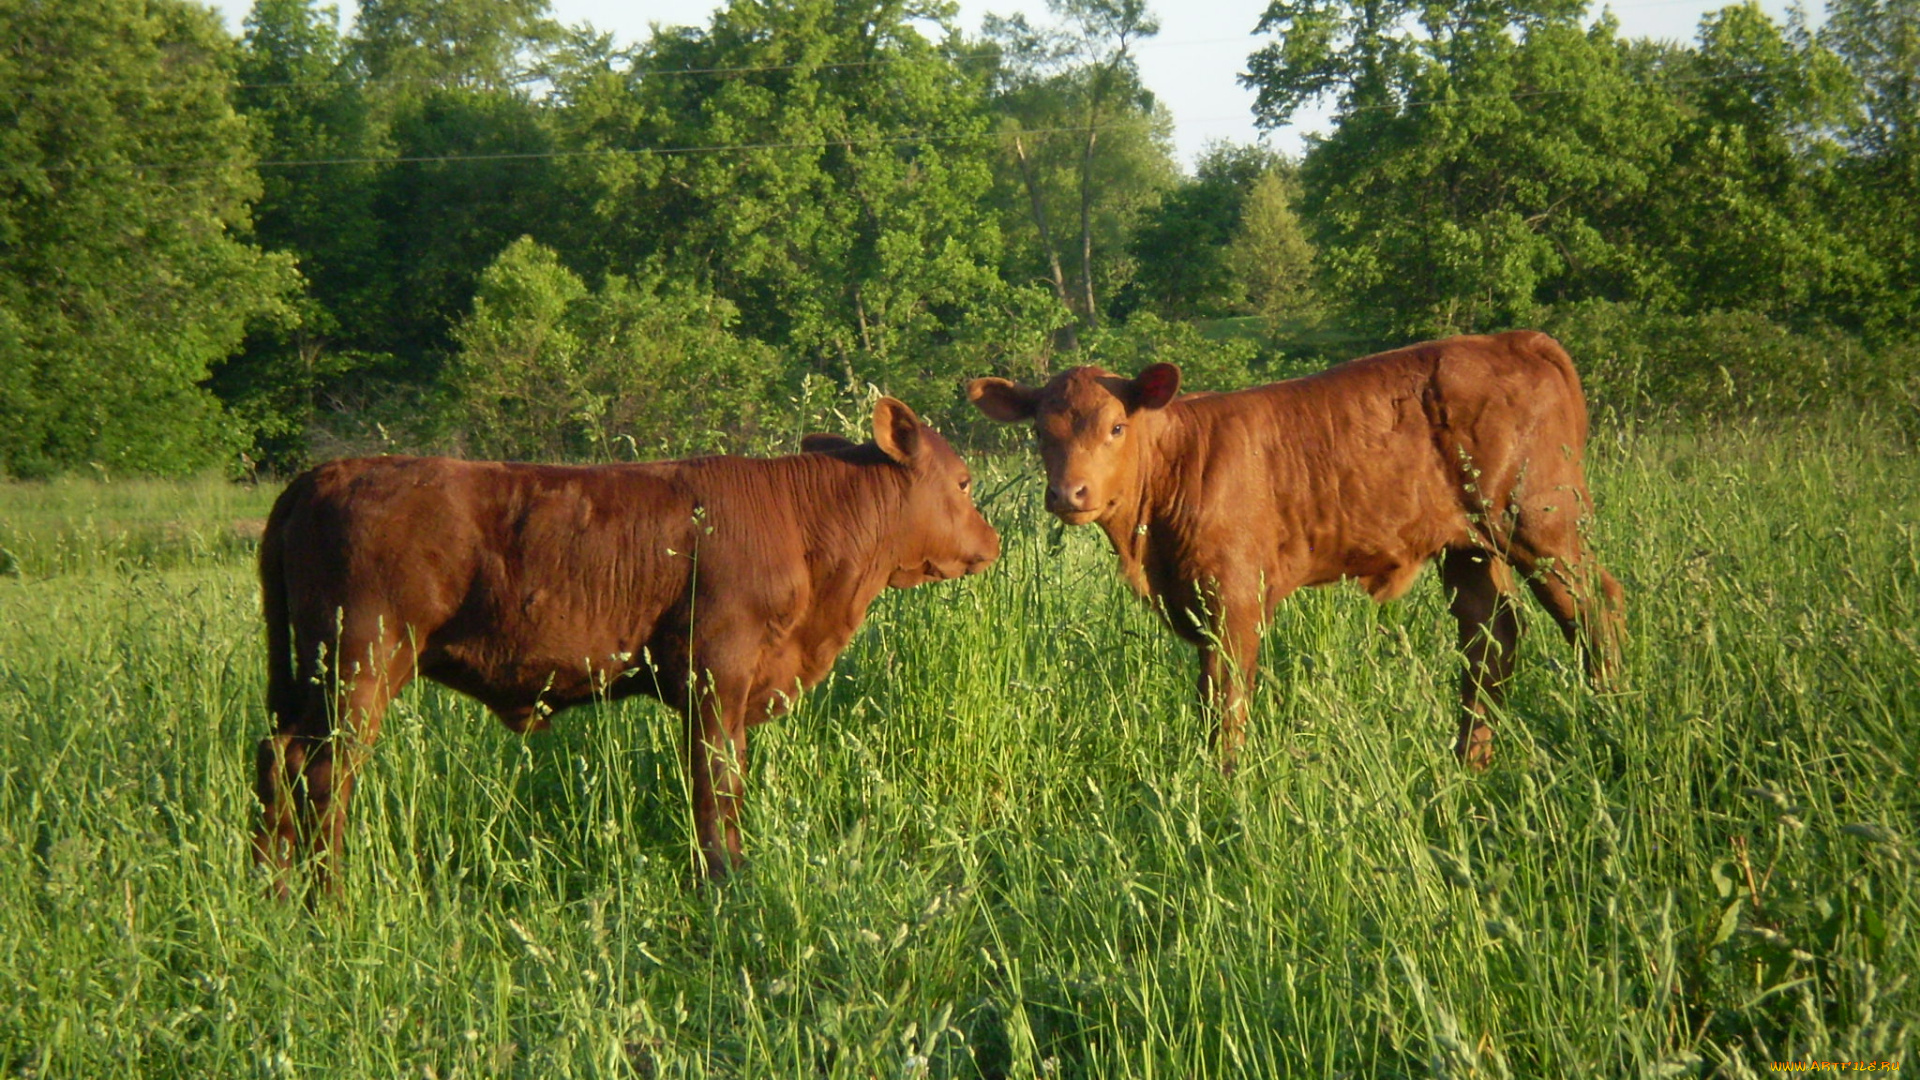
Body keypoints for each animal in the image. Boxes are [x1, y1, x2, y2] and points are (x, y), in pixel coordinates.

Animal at [255, 395, 998, 883]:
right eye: (963, 481)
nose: (992, 542)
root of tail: (325, 473)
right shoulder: (715, 675)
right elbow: (714, 783)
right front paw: (723, 880)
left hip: (313, 678)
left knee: (278, 757)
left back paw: (275, 889)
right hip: (360, 665)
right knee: (324, 774)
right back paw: (329, 898)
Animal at [975, 328, 1620, 764]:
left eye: (1116, 427)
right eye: (1040, 431)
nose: (1069, 492)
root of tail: (1514, 339)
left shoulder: (1234, 597)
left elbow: (1227, 697)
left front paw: (1226, 782)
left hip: (1541, 521)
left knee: (1595, 610)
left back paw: (1612, 719)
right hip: (1470, 546)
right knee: (1491, 638)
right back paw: (1468, 763)